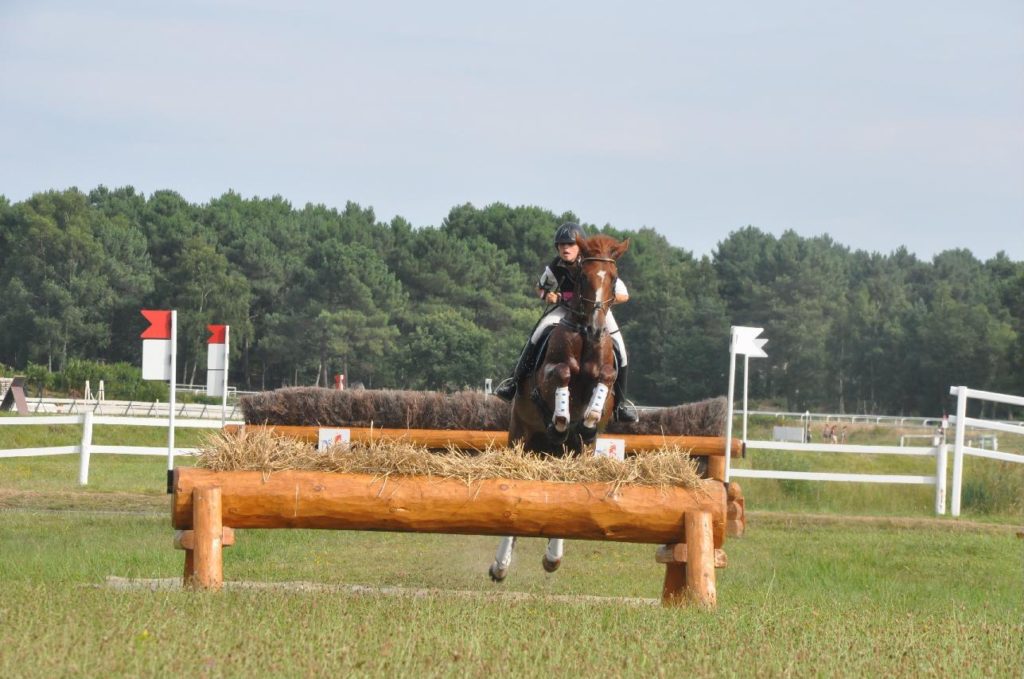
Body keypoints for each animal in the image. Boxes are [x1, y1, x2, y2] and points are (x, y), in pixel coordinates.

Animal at [485, 235, 622, 585]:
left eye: (613, 278)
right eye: (583, 278)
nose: (597, 329)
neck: (585, 335)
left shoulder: (606, 375)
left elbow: (606, 378)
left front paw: (589, 416)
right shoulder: (548, 374)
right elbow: (561, 373)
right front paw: (561, 416)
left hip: (575, 451)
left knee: (567, 492)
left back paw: (552, 558)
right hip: (521, 436)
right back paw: (500, 565)